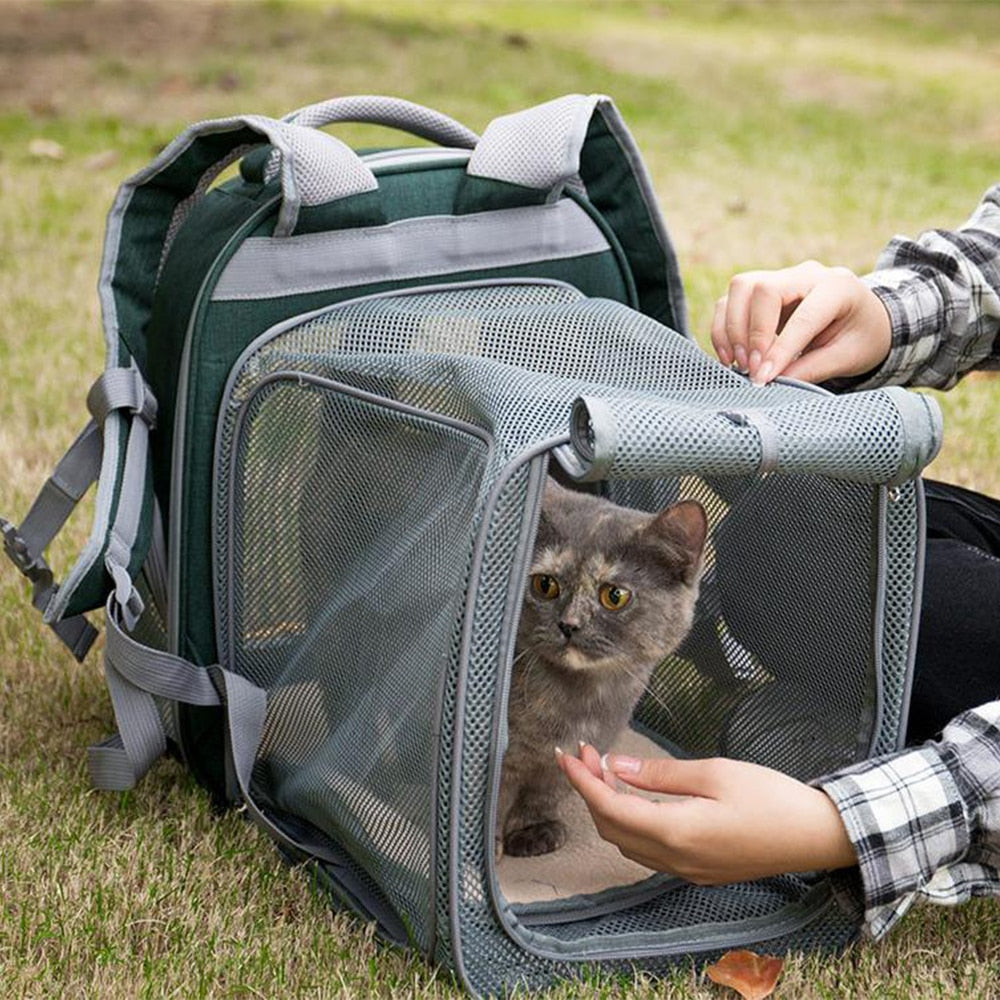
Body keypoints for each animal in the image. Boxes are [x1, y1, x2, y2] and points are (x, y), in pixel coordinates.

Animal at [498, 480, 704, 856]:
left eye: (615, 595)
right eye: (545, 585)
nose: (569, 624)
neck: (580, 702)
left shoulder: (575, 756)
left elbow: (544, 793)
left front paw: (533, 830)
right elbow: (492, 800)